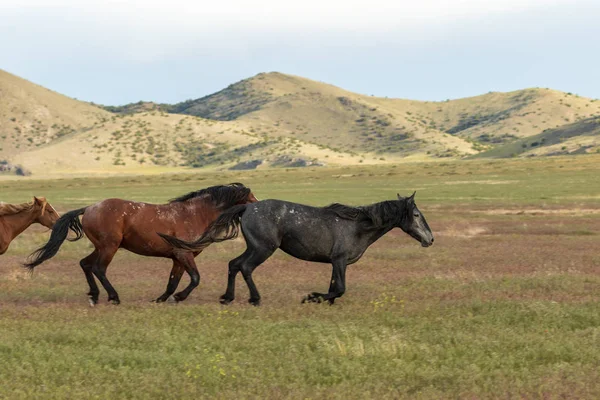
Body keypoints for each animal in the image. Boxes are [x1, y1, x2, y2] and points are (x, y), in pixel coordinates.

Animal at [25, 184, 258, 306]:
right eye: (250, 198)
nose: (259, 209)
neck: (194, 214)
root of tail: (89, 208)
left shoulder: (178, 258)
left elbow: (173, 281)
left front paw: (161, 299)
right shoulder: (184, 254)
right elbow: (195, 279)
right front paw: (179, 297)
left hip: (101, 247)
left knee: (85, 264)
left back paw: (95, 295)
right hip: (109, 247)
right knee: (99, 269)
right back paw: (113, 296)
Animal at [159, 192, 432, 304]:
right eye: (416, 215)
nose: (430, 239)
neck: (357, 225)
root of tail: (247, 207)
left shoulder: (336, 263)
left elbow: (334, 288)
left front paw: (321, 300)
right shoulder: (340, 260)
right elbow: (339, 289)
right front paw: (310, 297)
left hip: (255, 247)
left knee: (234, 265)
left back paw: (227, 297)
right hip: (263, 249)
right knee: (245, 267)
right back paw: (254, 299)